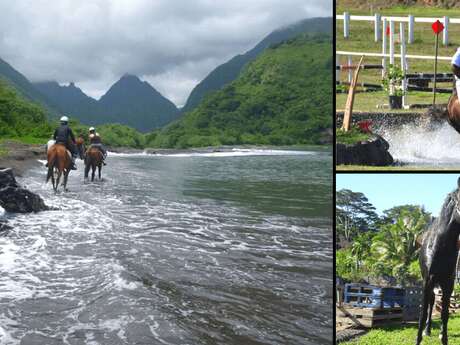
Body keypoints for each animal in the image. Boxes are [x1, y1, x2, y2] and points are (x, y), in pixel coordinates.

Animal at [416, 177, 460, 344]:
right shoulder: (427, 281)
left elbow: (445, 315)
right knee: (430, 303)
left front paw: (443, 337)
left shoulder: (448, 283)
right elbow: (422, 315)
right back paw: (427, 331)